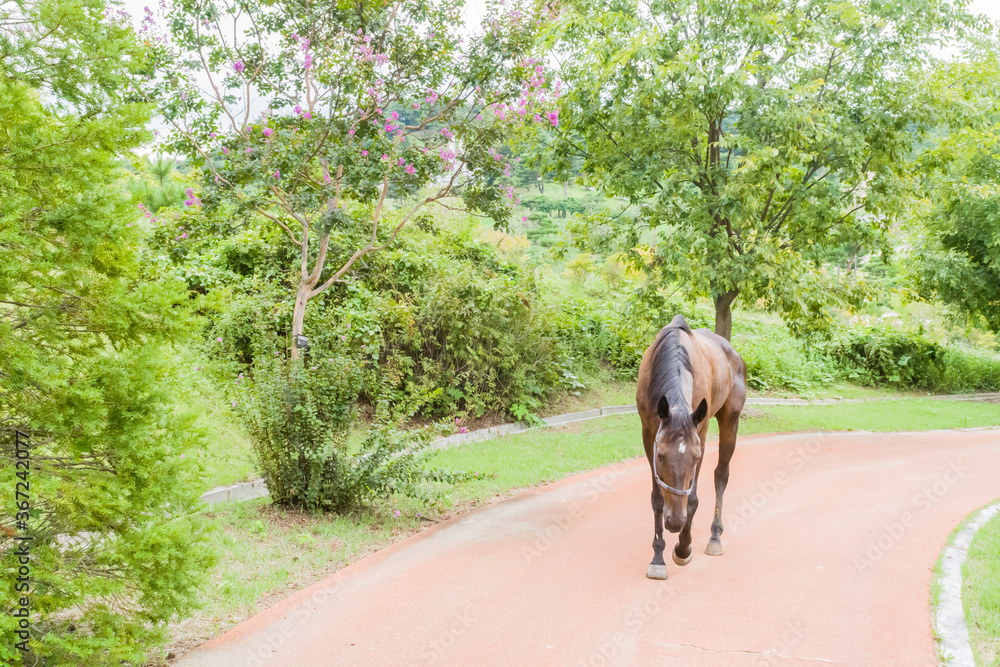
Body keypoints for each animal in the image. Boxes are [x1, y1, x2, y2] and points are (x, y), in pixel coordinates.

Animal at [635, 314, 747, 579]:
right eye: (661, 456)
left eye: (695, 458)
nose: (675, 521)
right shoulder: (648, 433)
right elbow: (657, 498)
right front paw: (658, 557)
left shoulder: (701, 435)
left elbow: (694, 497)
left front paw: (683, 548)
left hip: (731, 420)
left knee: (721, 475)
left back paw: (714, 536)